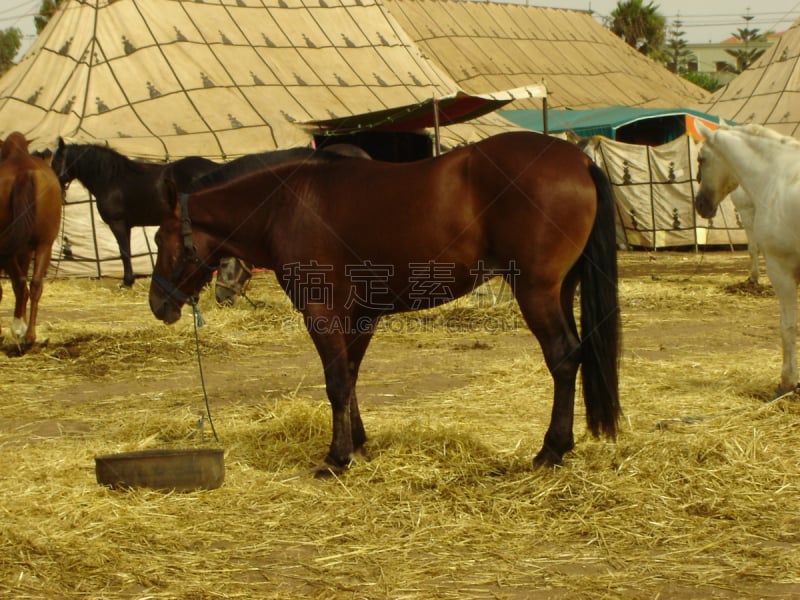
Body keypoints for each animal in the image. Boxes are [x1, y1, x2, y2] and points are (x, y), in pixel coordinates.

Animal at [0, 131, 62, 352]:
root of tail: (24, 173)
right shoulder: (26, 250)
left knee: (20, 284)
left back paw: (18, 329)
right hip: (45, 244)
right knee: (34, 285)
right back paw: (29, 336)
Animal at [152, 130, 624, 468]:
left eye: (160, 239)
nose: (159, 304)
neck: (288, 204)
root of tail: (580, 160)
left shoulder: (322, 313)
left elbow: (336, 381)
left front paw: (336, 457)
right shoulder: (360, 315)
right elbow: (351, 376)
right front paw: (358, 444)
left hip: (535, 292)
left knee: (563, 357)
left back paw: (551, 451)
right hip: (561, 290)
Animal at [692, 121, 800, 394]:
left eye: (701, 158)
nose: (701, 204)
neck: (776, 176)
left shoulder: (781, 269)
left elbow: (788, 327)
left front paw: (787, 381)